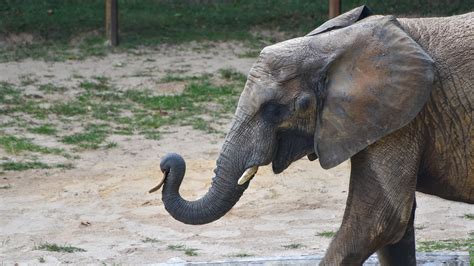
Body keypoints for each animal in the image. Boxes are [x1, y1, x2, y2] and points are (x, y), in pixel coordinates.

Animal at [150, 6, 472, 266]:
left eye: (275, 110)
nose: (167, 164)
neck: (338, 45)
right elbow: (396, 232)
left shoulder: (403, 115)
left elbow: (378, 222)